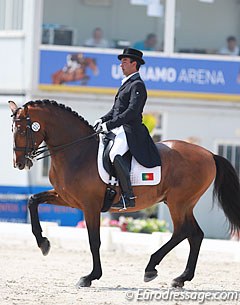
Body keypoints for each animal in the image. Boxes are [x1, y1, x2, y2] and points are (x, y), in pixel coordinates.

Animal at [8, 99, 240, 288]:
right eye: (12, 129)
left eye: (22, 130)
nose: (19, 163)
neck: (77, 152)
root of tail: (209, 154)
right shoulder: (68, 199)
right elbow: (33, 201)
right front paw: (43, 243)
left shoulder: (90, 205)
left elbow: (94, 240)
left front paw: (90, 277)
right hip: (182, 203)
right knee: (195, 234)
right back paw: (181, 278)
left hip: (179, 202)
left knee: (183, 231)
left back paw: (151, 268)